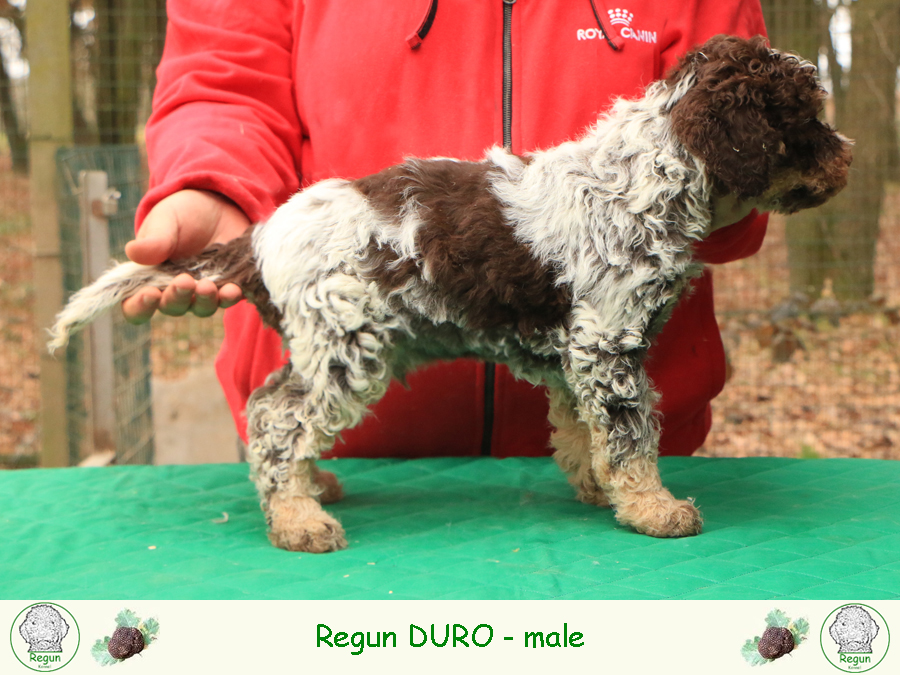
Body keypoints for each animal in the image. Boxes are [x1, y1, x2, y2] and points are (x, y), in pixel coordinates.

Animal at [47, 37, 852, 552]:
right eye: (806, 116)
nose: (847, 159)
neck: (646, 178)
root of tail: (261, 236)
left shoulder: (579, 356)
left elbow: (584, 432)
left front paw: (600, 489)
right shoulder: (607, 343)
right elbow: (630, 435)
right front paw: (654, 507)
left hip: (329, 347)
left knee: (280, 408)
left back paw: (311, 487)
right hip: (346, 345)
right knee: (276, 415)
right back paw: (297, 520)